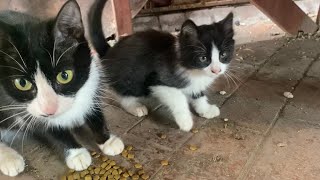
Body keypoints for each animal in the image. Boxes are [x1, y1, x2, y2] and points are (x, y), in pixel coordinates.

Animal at [0, 0, 124, 177]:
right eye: (22, 83)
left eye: (64, 75)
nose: (49, 110)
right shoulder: (23, 107)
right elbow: (50, 129)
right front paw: (76, 153)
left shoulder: (91, 75)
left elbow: (93, 107)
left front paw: (107, 140)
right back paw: (10, 158)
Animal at [90, 0, 235, 132]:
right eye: (203, 58)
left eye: (223, 55)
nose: (216, 70)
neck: (192, 68)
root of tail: (109, 51)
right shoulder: (159, 81)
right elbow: (178, 99)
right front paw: (185, 122)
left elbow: (198, 93)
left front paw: (205, 109)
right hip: (131, 78)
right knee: (123, 90)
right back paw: (134, 106)